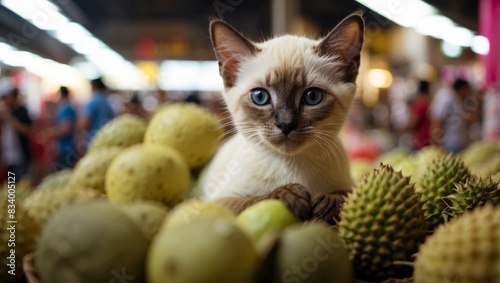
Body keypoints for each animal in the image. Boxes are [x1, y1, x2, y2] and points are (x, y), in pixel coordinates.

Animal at [199, 12, 364, 222]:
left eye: (312, 97)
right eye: (260, 97)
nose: (286, 124)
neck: (293, 165)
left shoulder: (352, 186)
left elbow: (344, 196)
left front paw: (327, 202)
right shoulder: (219, 200)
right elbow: (252, 200)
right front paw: (287, 193)